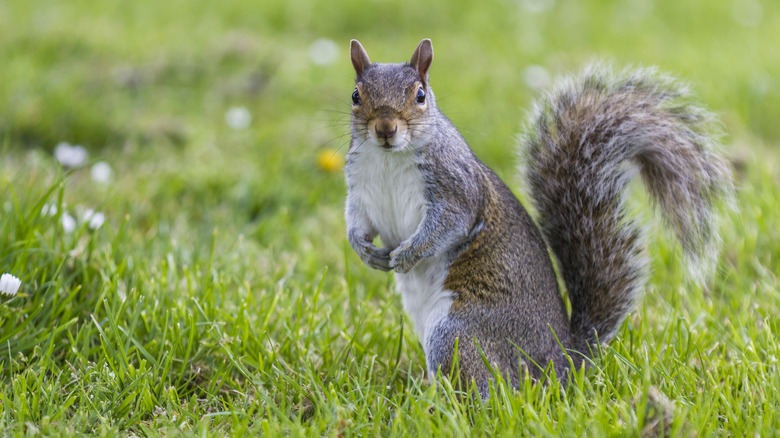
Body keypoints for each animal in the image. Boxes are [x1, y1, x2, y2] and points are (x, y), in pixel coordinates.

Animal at [344, 38, 733, 395]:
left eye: (420, 96)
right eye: (355, 95)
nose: (385, 129)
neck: (388, 158)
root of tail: (563, 362)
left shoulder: (455, 186)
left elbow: (449, 224)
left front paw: (407, 253)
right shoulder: (360, 191)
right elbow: (357, 223)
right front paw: (366, 252)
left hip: (458, 332)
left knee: (489, 389)